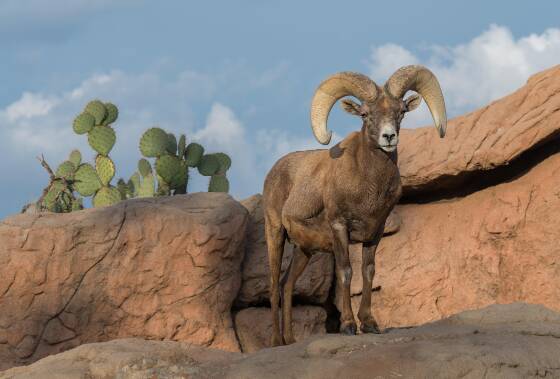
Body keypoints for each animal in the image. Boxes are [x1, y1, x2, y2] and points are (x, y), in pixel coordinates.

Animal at [262, 65, 446, 348]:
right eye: (365, 114)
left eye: (401, 111)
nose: (389, 137)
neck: (368, 185)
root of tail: (274, 171)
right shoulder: (340, 228)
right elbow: (346, 272)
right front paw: (348, 325)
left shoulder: (375, 233)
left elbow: (368, 272)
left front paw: (370, 324)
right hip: (275, 233)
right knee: (273, 285)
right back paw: (275, 342)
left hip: (304, 250)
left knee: (286, 284)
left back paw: (290, 340)